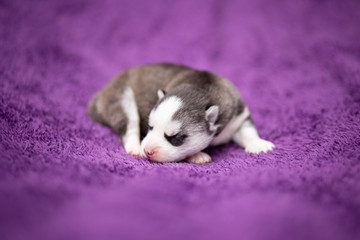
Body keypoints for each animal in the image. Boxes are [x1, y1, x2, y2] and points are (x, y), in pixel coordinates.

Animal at [87, 62, 272, 163]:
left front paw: (259, 144)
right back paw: (134, 147)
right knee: (128, 126)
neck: (200, 89)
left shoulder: (239, 115)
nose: (148, 151)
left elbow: (248, 130)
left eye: (175, 137)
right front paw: (198, 155)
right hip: (121, 98)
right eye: (150, 127)